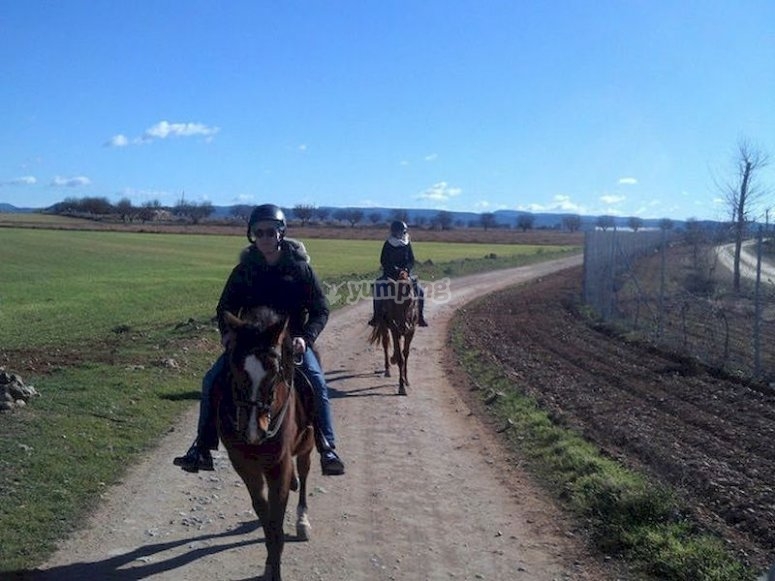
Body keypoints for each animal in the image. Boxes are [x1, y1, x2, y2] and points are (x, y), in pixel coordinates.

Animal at [215, 306, 316, 576]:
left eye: (273, 371)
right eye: (235, 367)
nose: (253, 430)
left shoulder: (278, 466)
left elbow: (276, 520)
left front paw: (275, 568)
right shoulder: (244, 466)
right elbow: (264, 514)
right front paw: (270, 564)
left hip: (307, 444)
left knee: (304, 474)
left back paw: (302, 519)